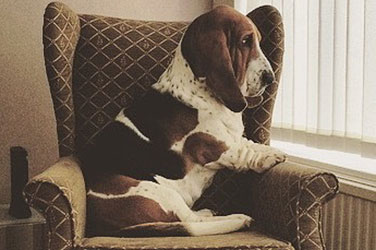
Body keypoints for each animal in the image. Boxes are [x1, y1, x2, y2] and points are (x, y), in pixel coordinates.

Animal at [78, 5, 286, 236]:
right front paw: (269, 158)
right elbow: (243, 154)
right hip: (157, 191)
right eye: (245, 41)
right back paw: (238, 219)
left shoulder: (230, 136)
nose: (270, 78)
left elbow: (250, 144)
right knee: (191, 222)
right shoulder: (215, 145)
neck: (198, 90)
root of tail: (100, 228)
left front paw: (270, 150)